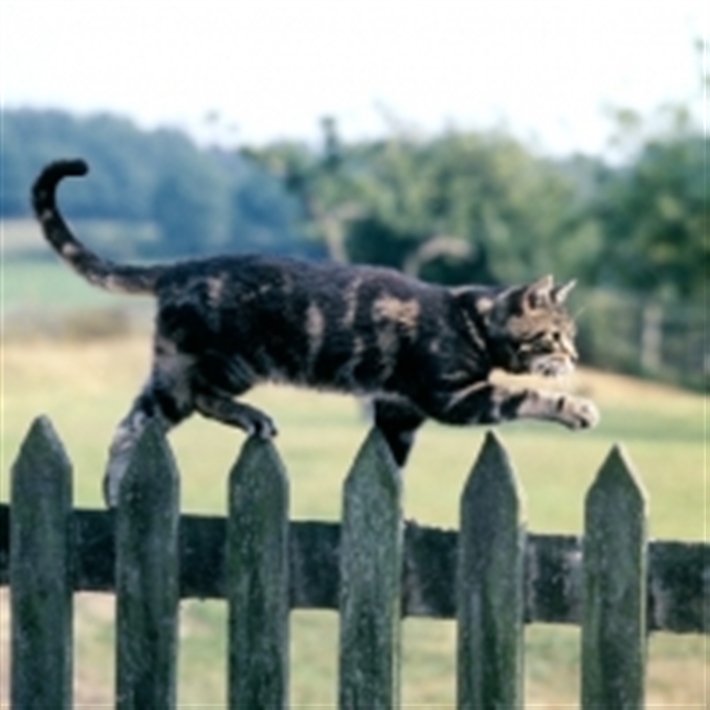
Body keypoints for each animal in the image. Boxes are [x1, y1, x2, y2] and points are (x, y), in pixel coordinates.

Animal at [33, 160, 600, 506]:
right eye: (555, 336)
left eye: (571, 335)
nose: (573, 355)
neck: (473, 319)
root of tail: (178, 268)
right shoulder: (455, 397)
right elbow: (527, 395)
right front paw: (577, 408)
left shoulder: (400, 410)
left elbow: (391, 466)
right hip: (208, 365)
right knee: (173, 407)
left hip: (192, 373)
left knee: (145, 419)